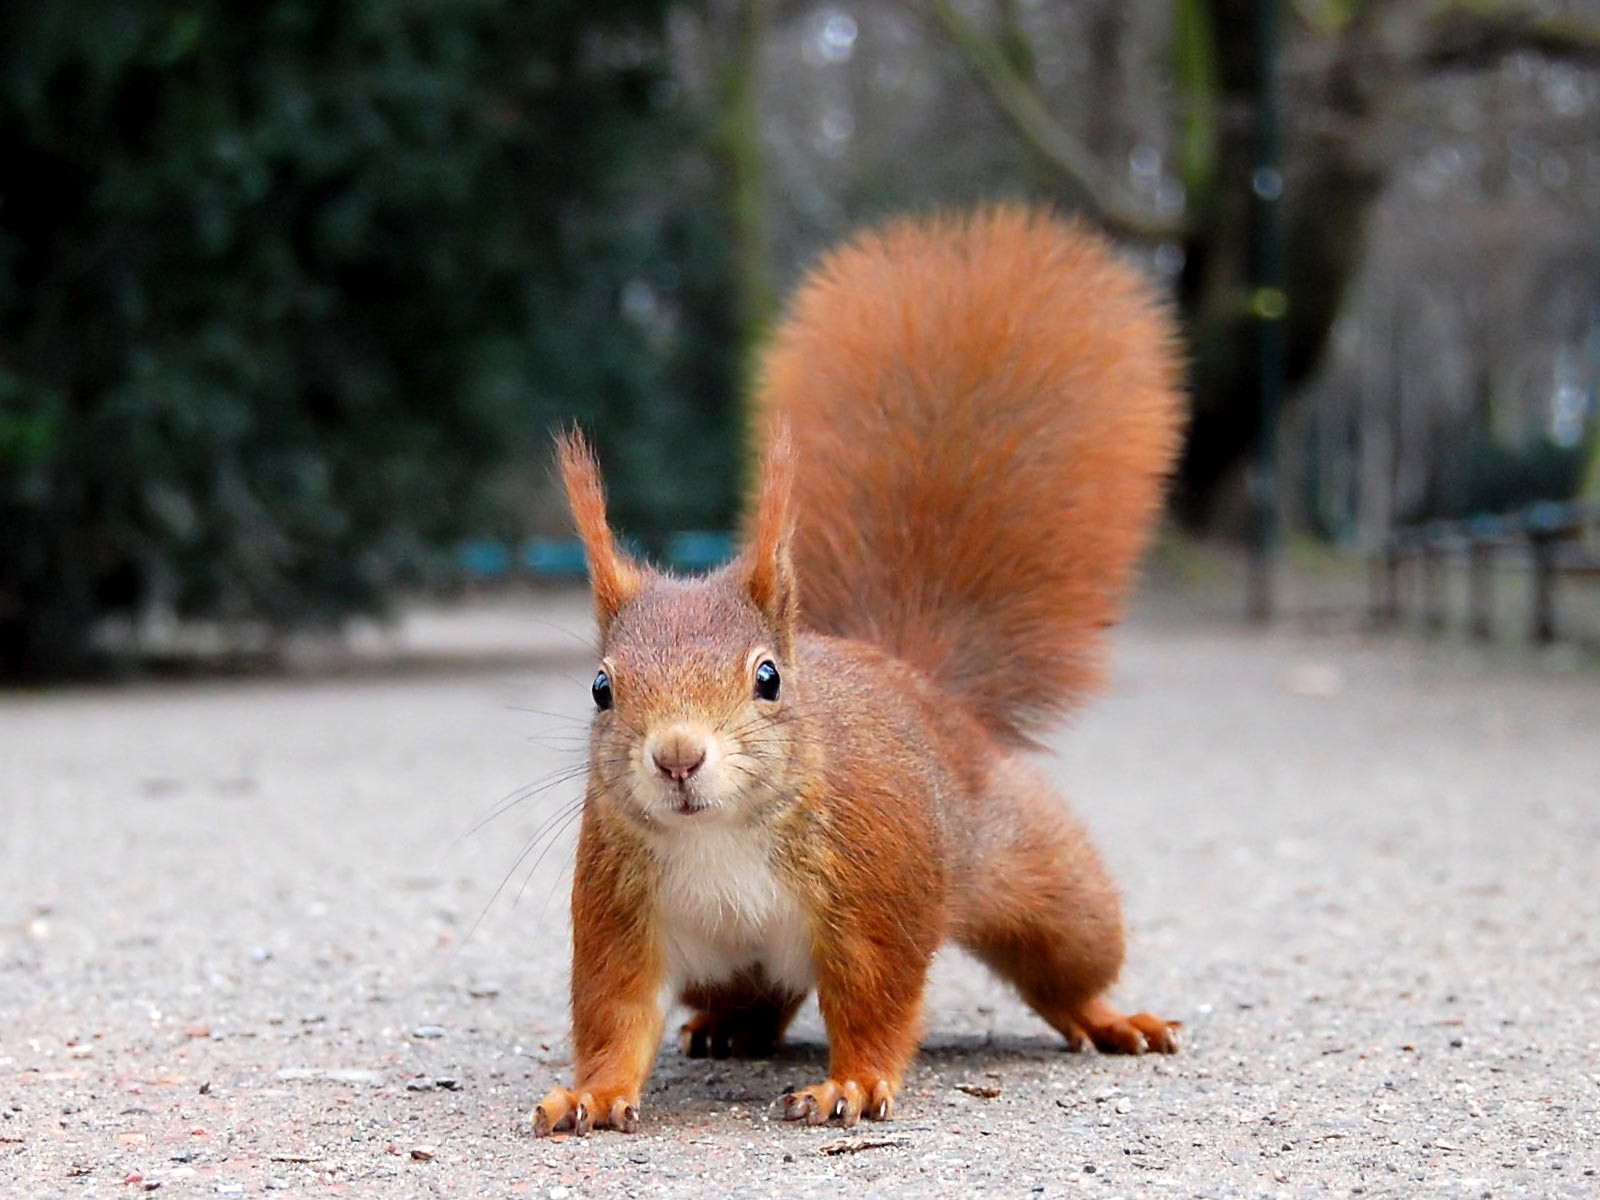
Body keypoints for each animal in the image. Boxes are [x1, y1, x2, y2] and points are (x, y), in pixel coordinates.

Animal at [533, 206, 1186, 1136]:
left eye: (769, 678)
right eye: (600, 688)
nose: (678, 757)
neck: (719, 835)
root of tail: (922, 683)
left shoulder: (877, 891)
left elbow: (875, 999)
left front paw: (851, 1082)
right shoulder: (621, 911)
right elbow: (615, 1014)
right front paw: (591, 1093)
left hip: (1046, 881)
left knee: (1067, 966)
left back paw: (1109, 1018)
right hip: (727, 963)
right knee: (760, 995)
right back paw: (728, 1028)